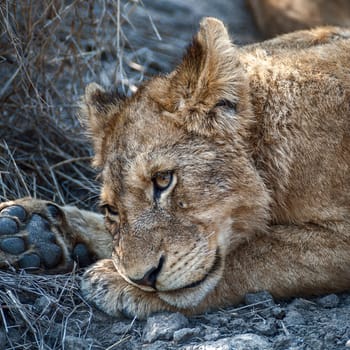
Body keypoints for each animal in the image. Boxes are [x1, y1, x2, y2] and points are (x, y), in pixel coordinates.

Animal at [0, 19, 350, 320]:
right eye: (112, 209)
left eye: (163, 180)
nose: (144, 278)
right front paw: (29, 230)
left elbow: (262, 251)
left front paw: (113, 278)